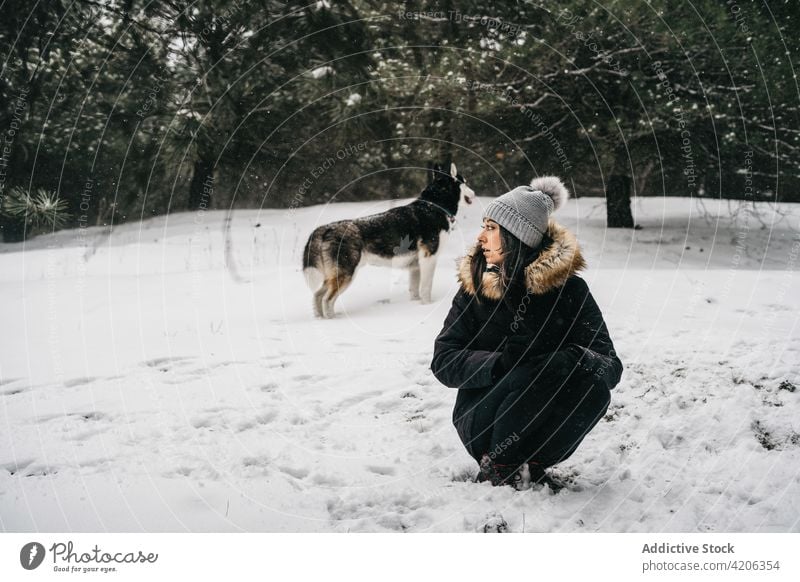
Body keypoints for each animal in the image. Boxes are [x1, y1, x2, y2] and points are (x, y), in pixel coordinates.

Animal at [304, 162, 472, 320]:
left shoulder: (416, 266)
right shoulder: (428, 259)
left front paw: (416, 305)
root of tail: (325, 229)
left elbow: (414, 291)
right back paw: (332, 319)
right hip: (346, 274)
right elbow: (426, 289)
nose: (474, 193)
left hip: (332, 276)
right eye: (465, 181)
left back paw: (319, 318)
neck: (433, 206)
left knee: (317, 295)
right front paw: (427, 306)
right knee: (327, 299)